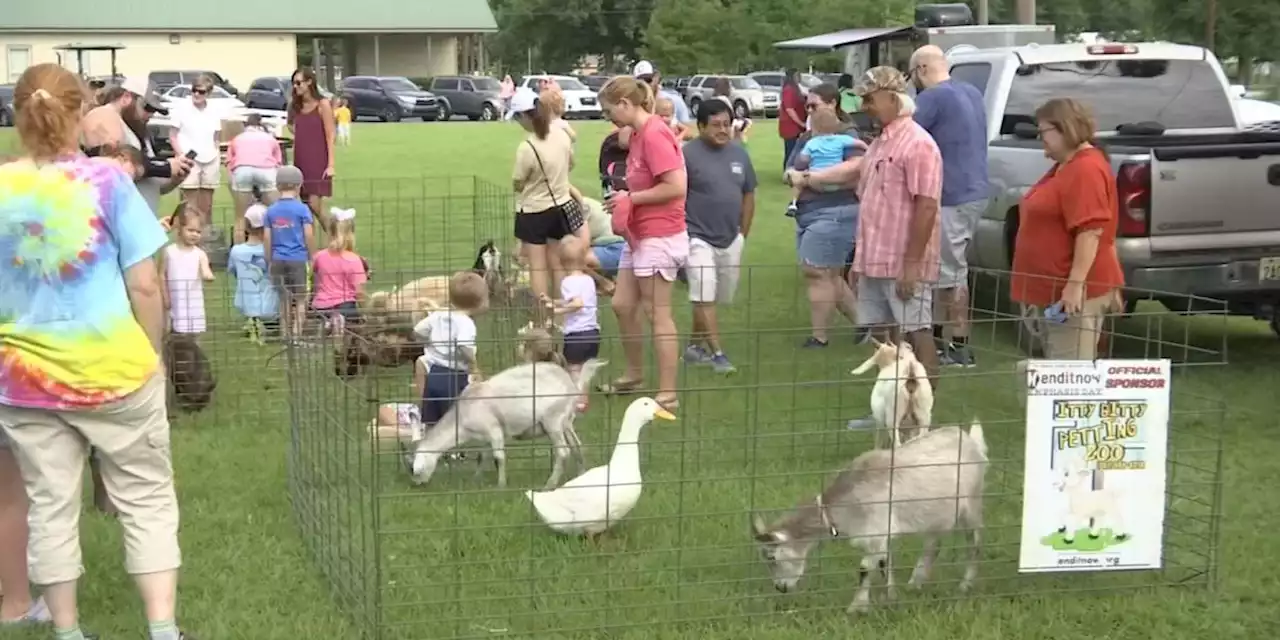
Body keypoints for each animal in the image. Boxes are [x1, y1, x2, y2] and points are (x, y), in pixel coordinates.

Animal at [412, 360, 606, 488]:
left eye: (416, 471)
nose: (418, 484)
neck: (461, 418)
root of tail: (570, 383)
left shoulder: (494, 430)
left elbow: (499, 457)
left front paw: (501, 485)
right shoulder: (486, 435)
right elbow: (482, 456)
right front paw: (476, 478)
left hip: (553, 420)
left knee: (563, 452)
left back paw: (549, 484)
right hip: (566, 422)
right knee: (577, 445)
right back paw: (581, 476)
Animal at [747, 419, 988, 614]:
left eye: (771, 557)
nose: (780, 587)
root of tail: (970, 440)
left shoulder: (876, 531)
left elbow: (864, 568)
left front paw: (857, 608)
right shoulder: (882, 534)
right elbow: (884, 563)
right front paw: (891, 597)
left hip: (972, 503)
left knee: (975, 543)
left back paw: (965, 585)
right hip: (936, 513)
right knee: (933, 545)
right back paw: (915, 583)